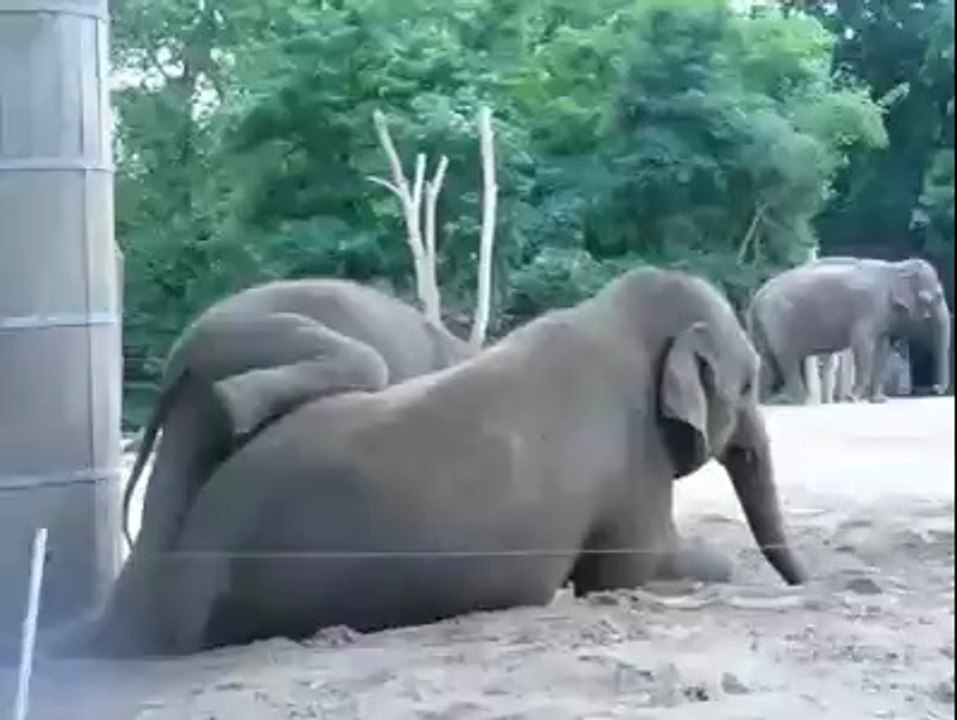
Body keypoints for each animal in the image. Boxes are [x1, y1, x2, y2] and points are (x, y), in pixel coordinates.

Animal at [748, 257, 951, 403]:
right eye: (935, 296)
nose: (936, 388)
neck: (896, 267)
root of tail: (757, 296)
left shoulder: (882, 316)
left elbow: (882, 349)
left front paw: (879, 400)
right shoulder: (869, 307)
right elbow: (862, 345)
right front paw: (853, 398)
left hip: (764, 325)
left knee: (766, 358)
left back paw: (765, 401)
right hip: (778, 321)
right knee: (786, 356)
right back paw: (795, 401)